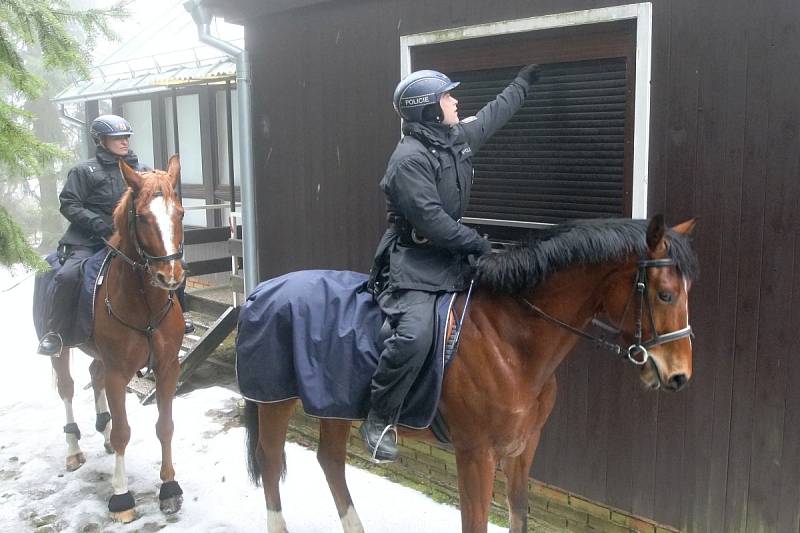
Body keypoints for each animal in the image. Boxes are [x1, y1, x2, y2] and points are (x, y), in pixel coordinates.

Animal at [50, 156, 187, 520]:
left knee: (93, 374)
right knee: (67, 389)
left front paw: (169, 488)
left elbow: (166, 426)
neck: (144, 305)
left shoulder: (167, 368)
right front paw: (122, 498)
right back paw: (73, 449)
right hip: (59, 351)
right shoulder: (117, 373)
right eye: (143, 217)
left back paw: (105, 432)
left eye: (180, 213)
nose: (170, 277)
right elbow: (126, 430)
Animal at [241, 214, 696, 528]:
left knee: (331, 461)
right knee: (270, 460)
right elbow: (474, 523)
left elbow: (518, 516)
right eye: (665, 294)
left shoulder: (522, 449)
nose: (680, 376)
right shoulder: (475, 454)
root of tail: (262, 291)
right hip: (275, 400)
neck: (511, 340)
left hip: (334, 404)